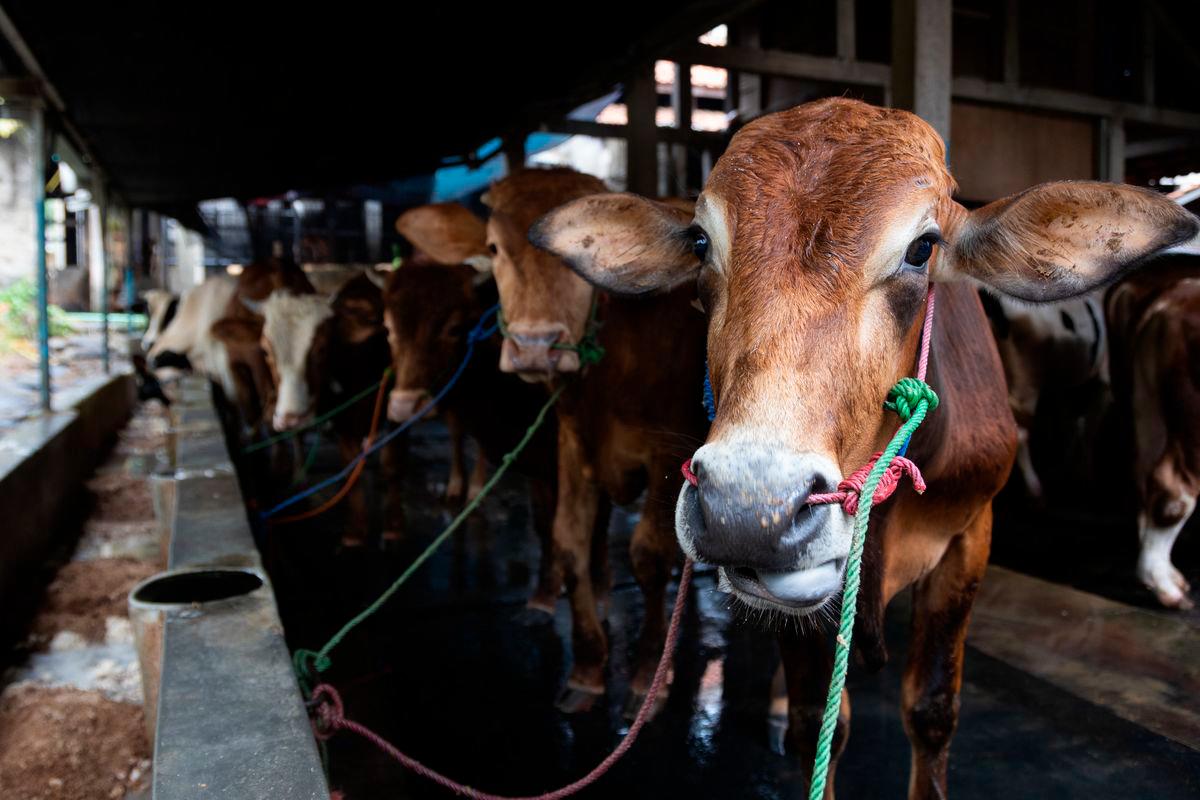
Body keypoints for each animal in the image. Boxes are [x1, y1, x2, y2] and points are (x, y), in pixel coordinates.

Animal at [410, 170, 709, 714]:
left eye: (573, 262)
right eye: (494, 247)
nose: (535, 347)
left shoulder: (668, 450)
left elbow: (649, 555)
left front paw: (647, 676)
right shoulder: (574, 442)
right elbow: (568, 542)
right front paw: (588, 668)